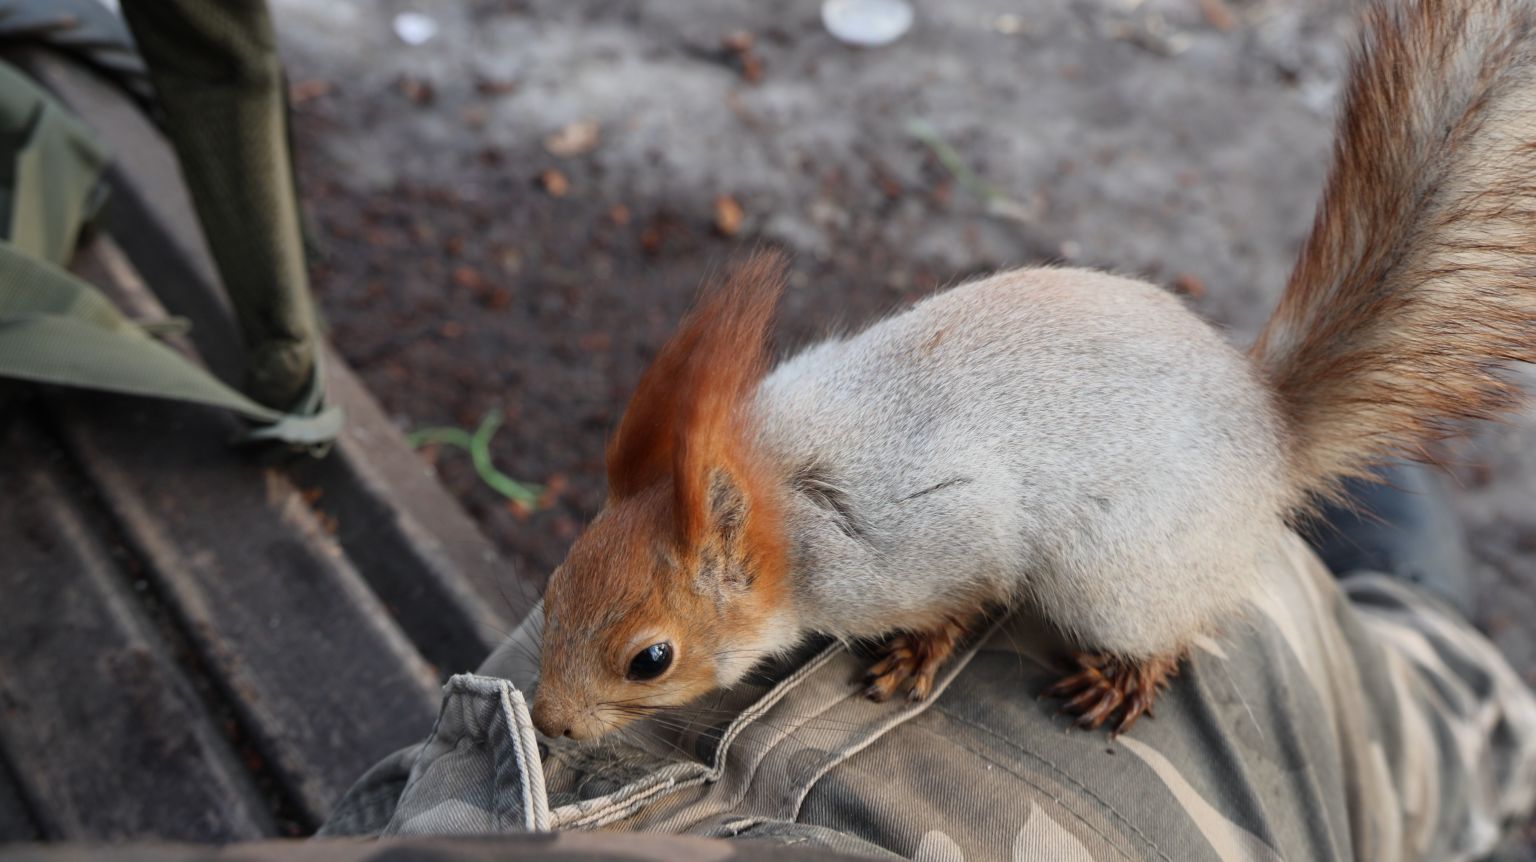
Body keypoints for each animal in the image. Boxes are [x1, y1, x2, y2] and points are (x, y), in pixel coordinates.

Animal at [529, 0, 1536, 740]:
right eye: (552, 586)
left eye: (649, 659)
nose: (548, 724)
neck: (779, 495)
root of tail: (1273, 432)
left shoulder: (937, 542)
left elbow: (965, 597)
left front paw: (917, 654)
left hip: (1119, 575)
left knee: (1174, 627)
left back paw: (1124, 679)